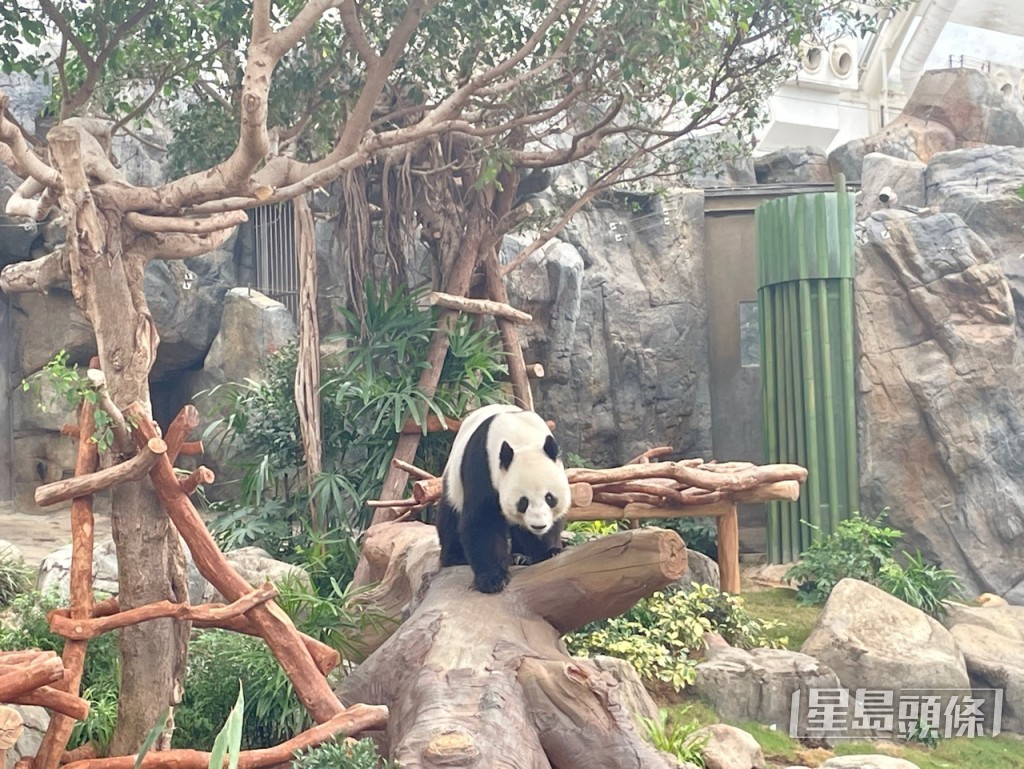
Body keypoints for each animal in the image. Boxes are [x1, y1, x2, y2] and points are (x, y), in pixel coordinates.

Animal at [436, 403, 573, 593]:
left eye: (549, 498)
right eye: (523, 502)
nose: (538, 526)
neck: (520, 436)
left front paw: (549, 552)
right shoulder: (483, 466)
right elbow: (483, 520)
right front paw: (492, 579)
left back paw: (520, 556)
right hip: (453, 481)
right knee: (449, 514)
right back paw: (455, 556)